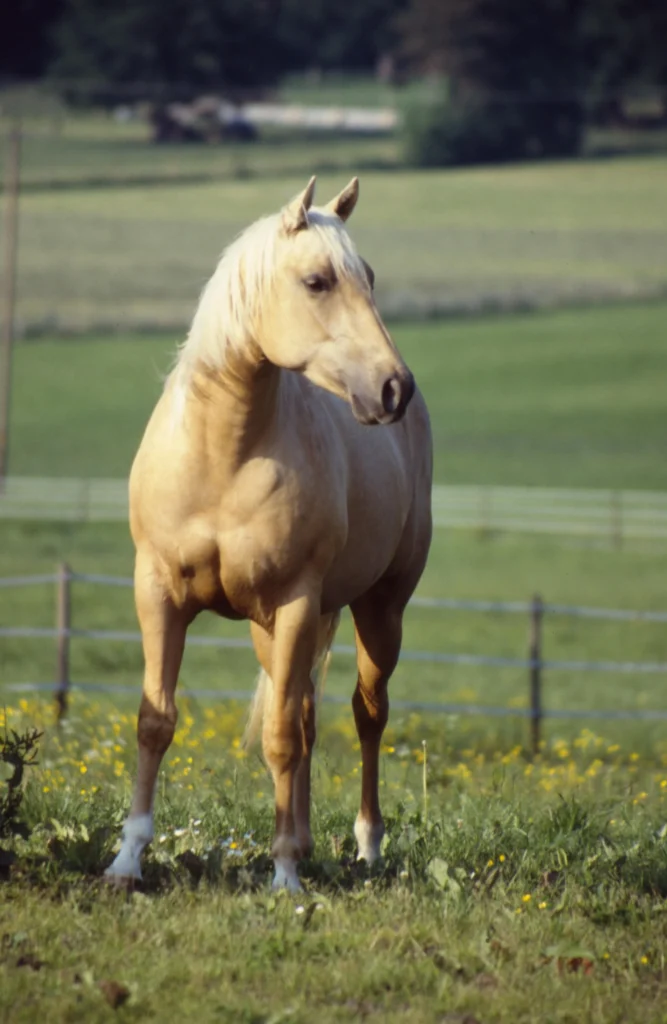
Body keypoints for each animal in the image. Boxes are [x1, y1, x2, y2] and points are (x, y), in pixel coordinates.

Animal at [105, 176, 433, 891]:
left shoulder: (297, 601)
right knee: (307, 713)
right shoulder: (157, 593)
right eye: (316, 281)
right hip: (272, 627)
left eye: (368, 277)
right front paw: (127, 858)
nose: (393, 388)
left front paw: (284, 875)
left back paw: (365, 847)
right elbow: (155, 721)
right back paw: (307, 840)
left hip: (379, 609)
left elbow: (280, 737)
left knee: (366, 713)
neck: (222, 456)